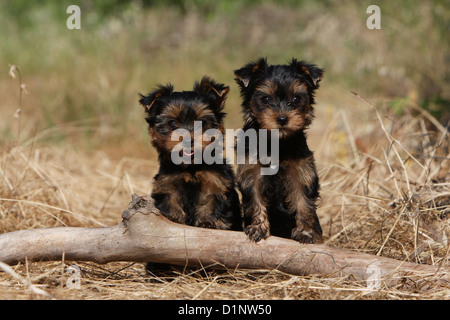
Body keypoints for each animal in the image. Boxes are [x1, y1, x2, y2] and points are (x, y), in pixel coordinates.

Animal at [236, 57, 324, 242]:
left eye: (297, 99)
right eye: (265, 99)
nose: (282, 118)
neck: (278, 142)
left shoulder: (301, 171)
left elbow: (303, 203)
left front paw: (305, 232)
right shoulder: (251, 171)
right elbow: (255, 201)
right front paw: (258, 228)